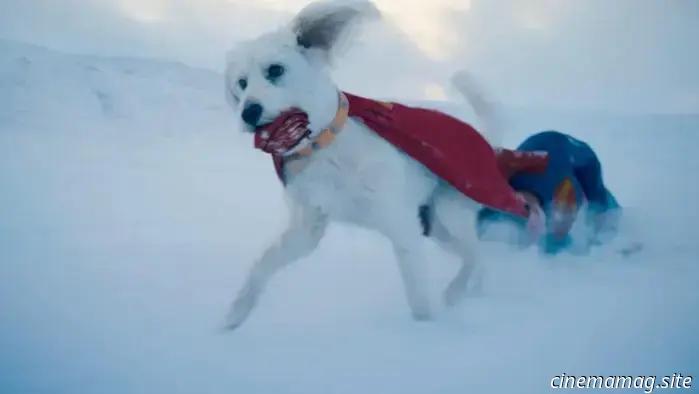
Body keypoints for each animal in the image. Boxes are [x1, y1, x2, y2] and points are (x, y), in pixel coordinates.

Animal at [221, 0, 540, 330]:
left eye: (275, 70)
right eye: (241, 83)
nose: (247, 113)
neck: (325, 149)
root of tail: (487, 145)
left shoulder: (402, 225)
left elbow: (418, 296)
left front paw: (428, 332)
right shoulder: (307, 228)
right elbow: (262, 265)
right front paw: (235, 315)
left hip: (451, 213)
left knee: (478, 256)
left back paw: (456, 293)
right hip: (438, 227)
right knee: (477, 259)